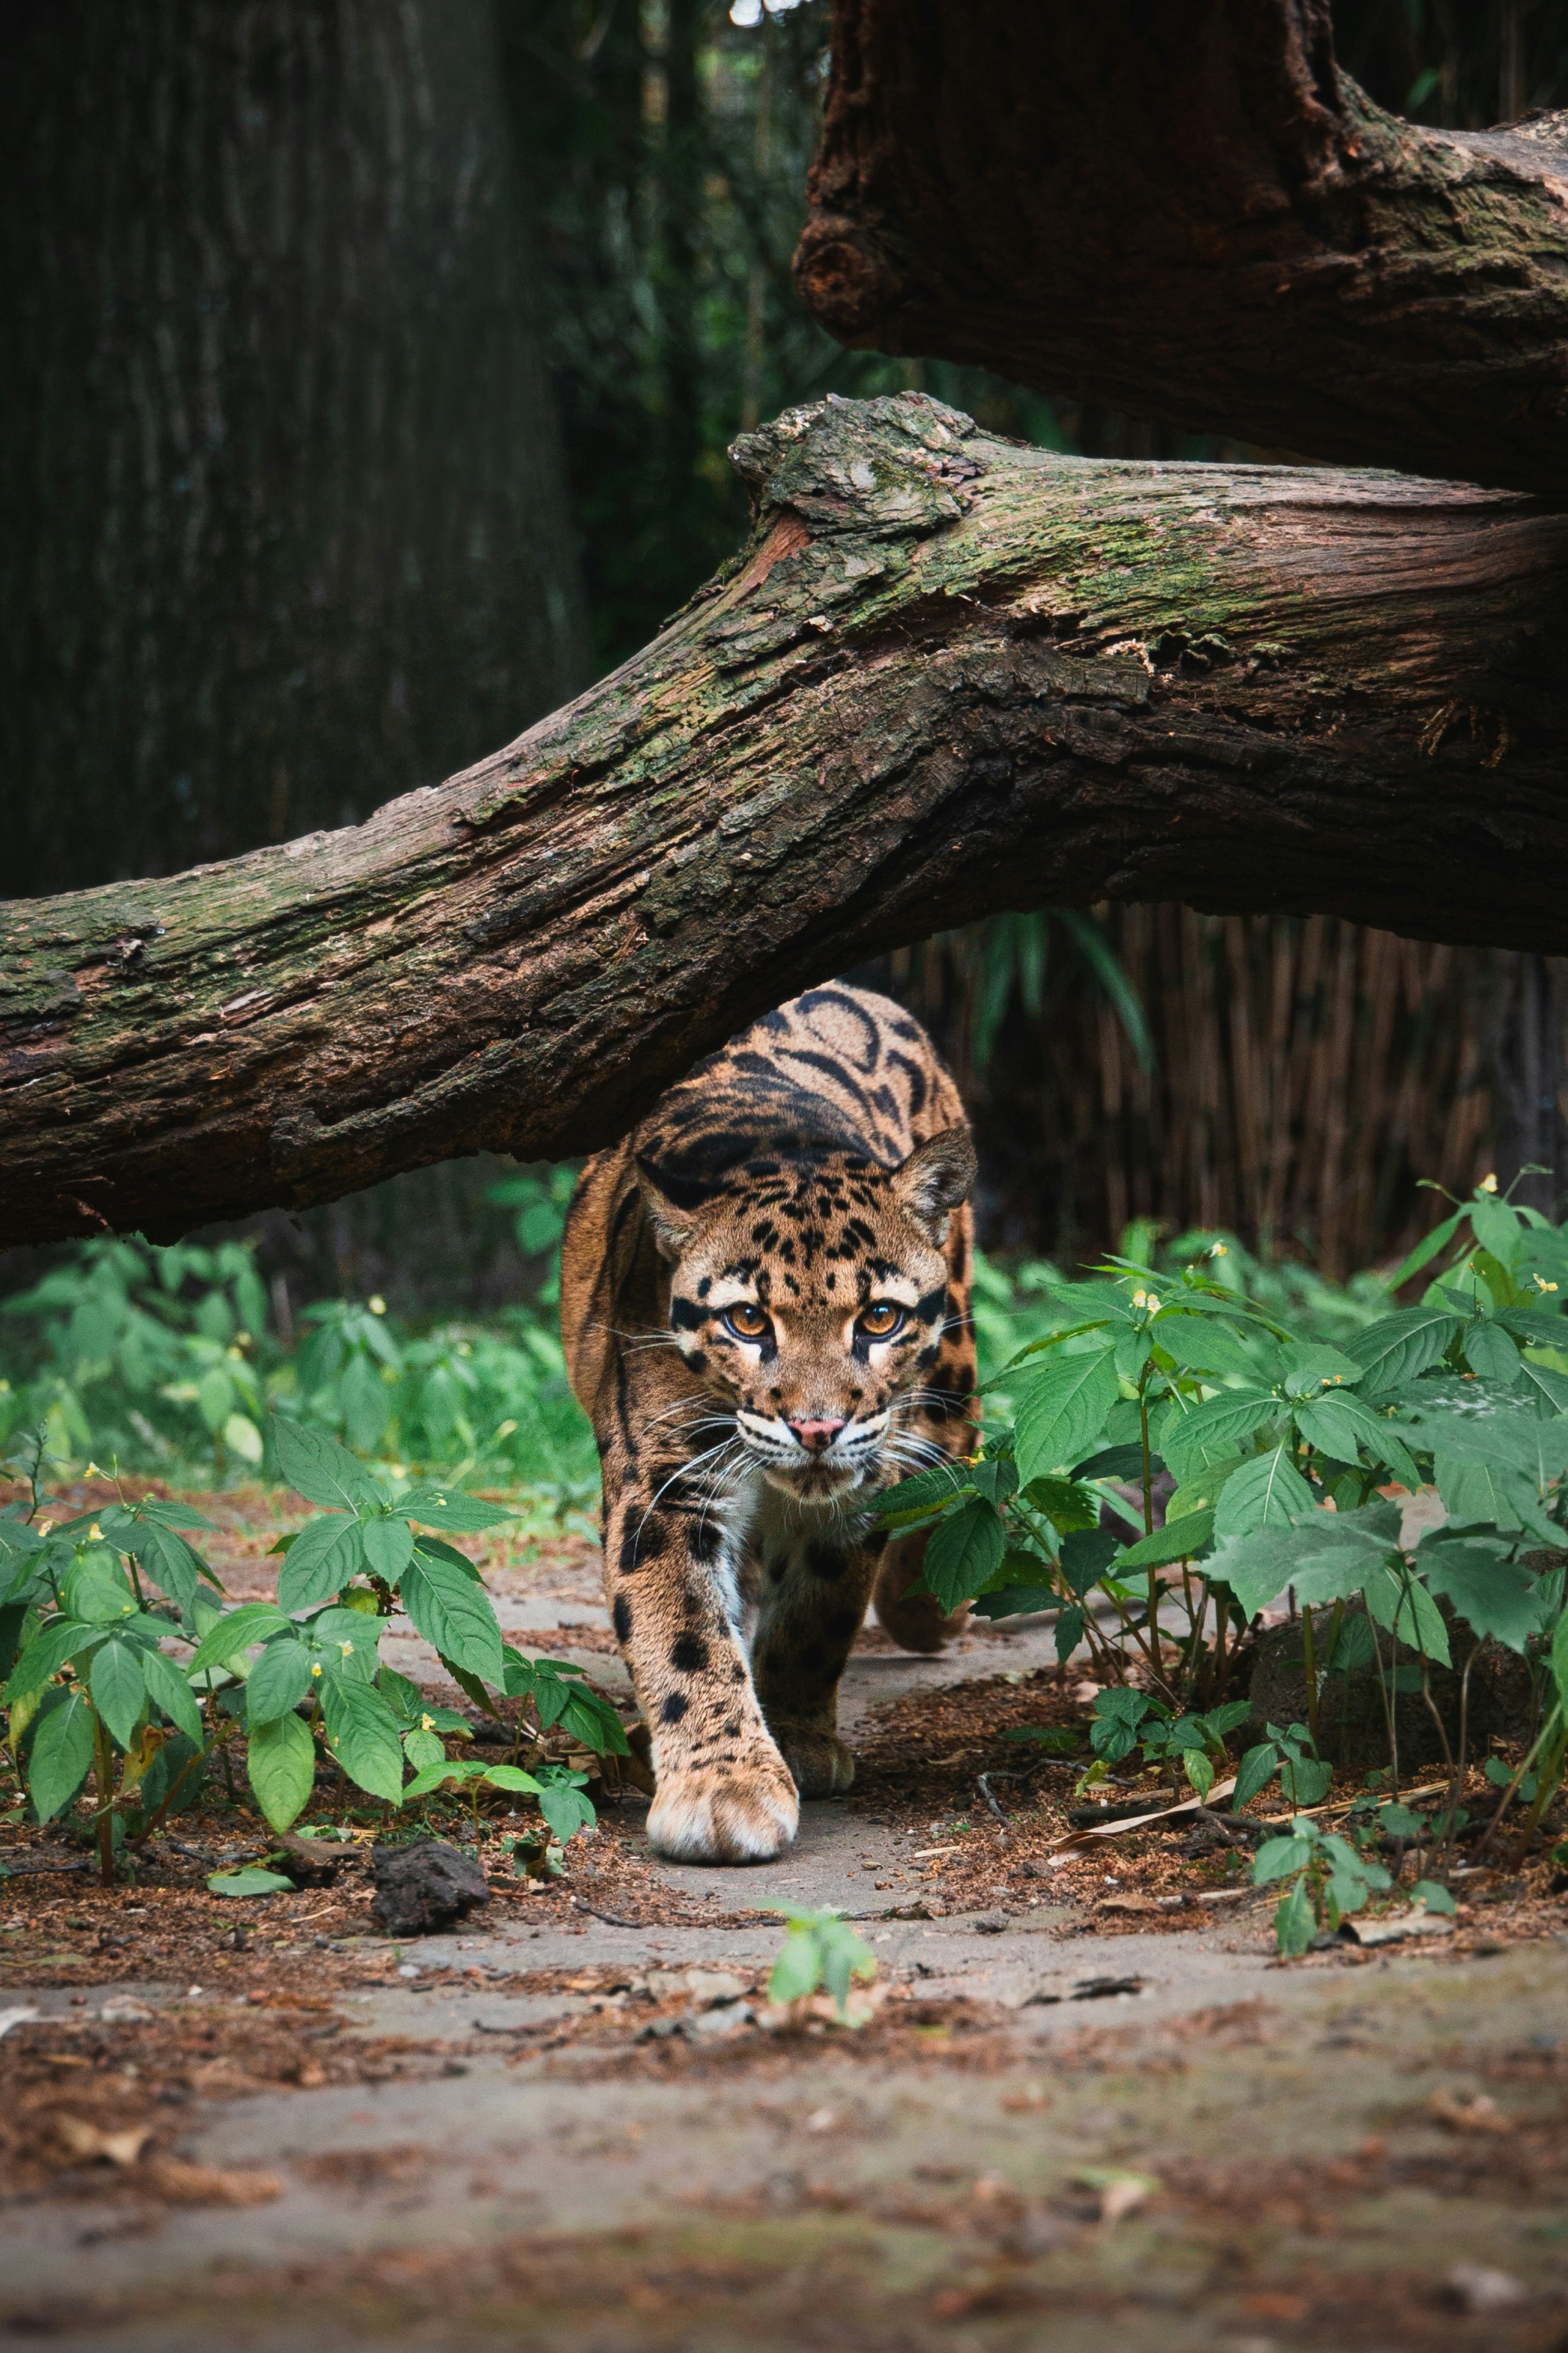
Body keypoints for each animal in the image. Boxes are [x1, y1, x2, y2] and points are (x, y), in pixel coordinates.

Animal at [560, 981, 978, 1865]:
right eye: (748, 1321)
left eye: (880, 1318)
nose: (816, 1428)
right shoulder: (666, 1477)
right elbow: (684, 1629)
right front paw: (723, 1785)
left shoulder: (862, 1479)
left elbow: (820, 1610)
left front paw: (795, 1735)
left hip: (953, 1360)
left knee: (959, 1449)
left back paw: (927, 1600)